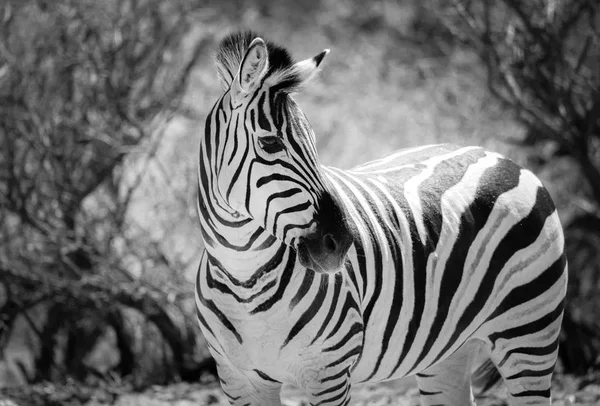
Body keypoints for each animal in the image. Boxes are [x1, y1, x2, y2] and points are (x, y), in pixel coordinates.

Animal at [196, 31, 568, 406]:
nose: (340, 243)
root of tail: (502, 158)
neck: (244, 275)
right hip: (447, 354)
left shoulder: (328, 374)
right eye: (270, 143)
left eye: (315, 143)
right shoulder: (238, 380)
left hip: (530, 333)